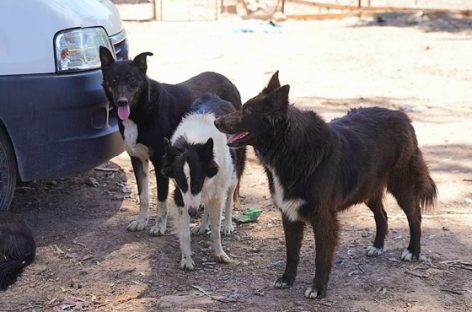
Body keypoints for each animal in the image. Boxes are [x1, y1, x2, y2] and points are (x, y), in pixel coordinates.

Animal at [101, 47, 245, 235]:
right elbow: (143, 196)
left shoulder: (160, 162)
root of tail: (229, 81)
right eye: (114, 80)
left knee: (230, 190)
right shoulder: (137, 159)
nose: (121, 102)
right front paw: (141, 221)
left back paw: (226, 223)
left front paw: (159, 226)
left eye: (132, 80)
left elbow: (161, 198)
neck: (140, 112)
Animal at [162, 95, 245, 270]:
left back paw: (227, 224)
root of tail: (215, 97)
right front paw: (186, 259)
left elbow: (216, 229)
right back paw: (202, 226)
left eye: (197, 182)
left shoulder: (216, 192)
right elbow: (185, 233)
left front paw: (219, 253)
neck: (193, 141)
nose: (193, 213)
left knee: (229, 198)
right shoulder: (180, 196)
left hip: (233, 176)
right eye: (182, 184)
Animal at [213, 72, 436, 298]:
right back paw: (377, 247)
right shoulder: (289, 214)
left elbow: (321, 256)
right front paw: (287, 279)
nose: (215, 121)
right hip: (367, 189)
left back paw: (413, 251)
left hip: (402, 187)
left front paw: (318, 288)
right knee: (382, 215)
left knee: (415, 217)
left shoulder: (323, 217)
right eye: (243, 107)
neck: (291, 149)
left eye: (247, 111)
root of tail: (402, 116)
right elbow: (292, 253)